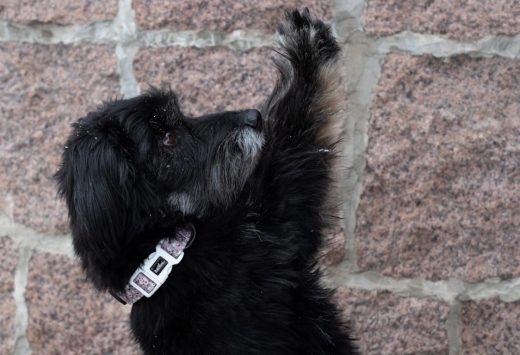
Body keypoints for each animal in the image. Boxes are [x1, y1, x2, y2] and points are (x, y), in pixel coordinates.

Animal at [55, 9, 358, 355]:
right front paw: (307, 46)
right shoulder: (277, 219)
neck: (159, 255)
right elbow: (296, 128)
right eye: (168, 137)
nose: (254, 117)